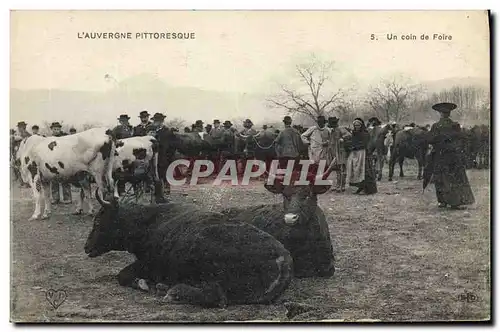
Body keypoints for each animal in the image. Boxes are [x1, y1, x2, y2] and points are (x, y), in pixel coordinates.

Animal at [83, 192, 292, 308]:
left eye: (98, 221)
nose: (86, 247)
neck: (148, 222)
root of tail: (282, 257)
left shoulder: (146, 265)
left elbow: (123, 275)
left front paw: (144, 284)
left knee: (216, 297)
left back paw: (172, 292)